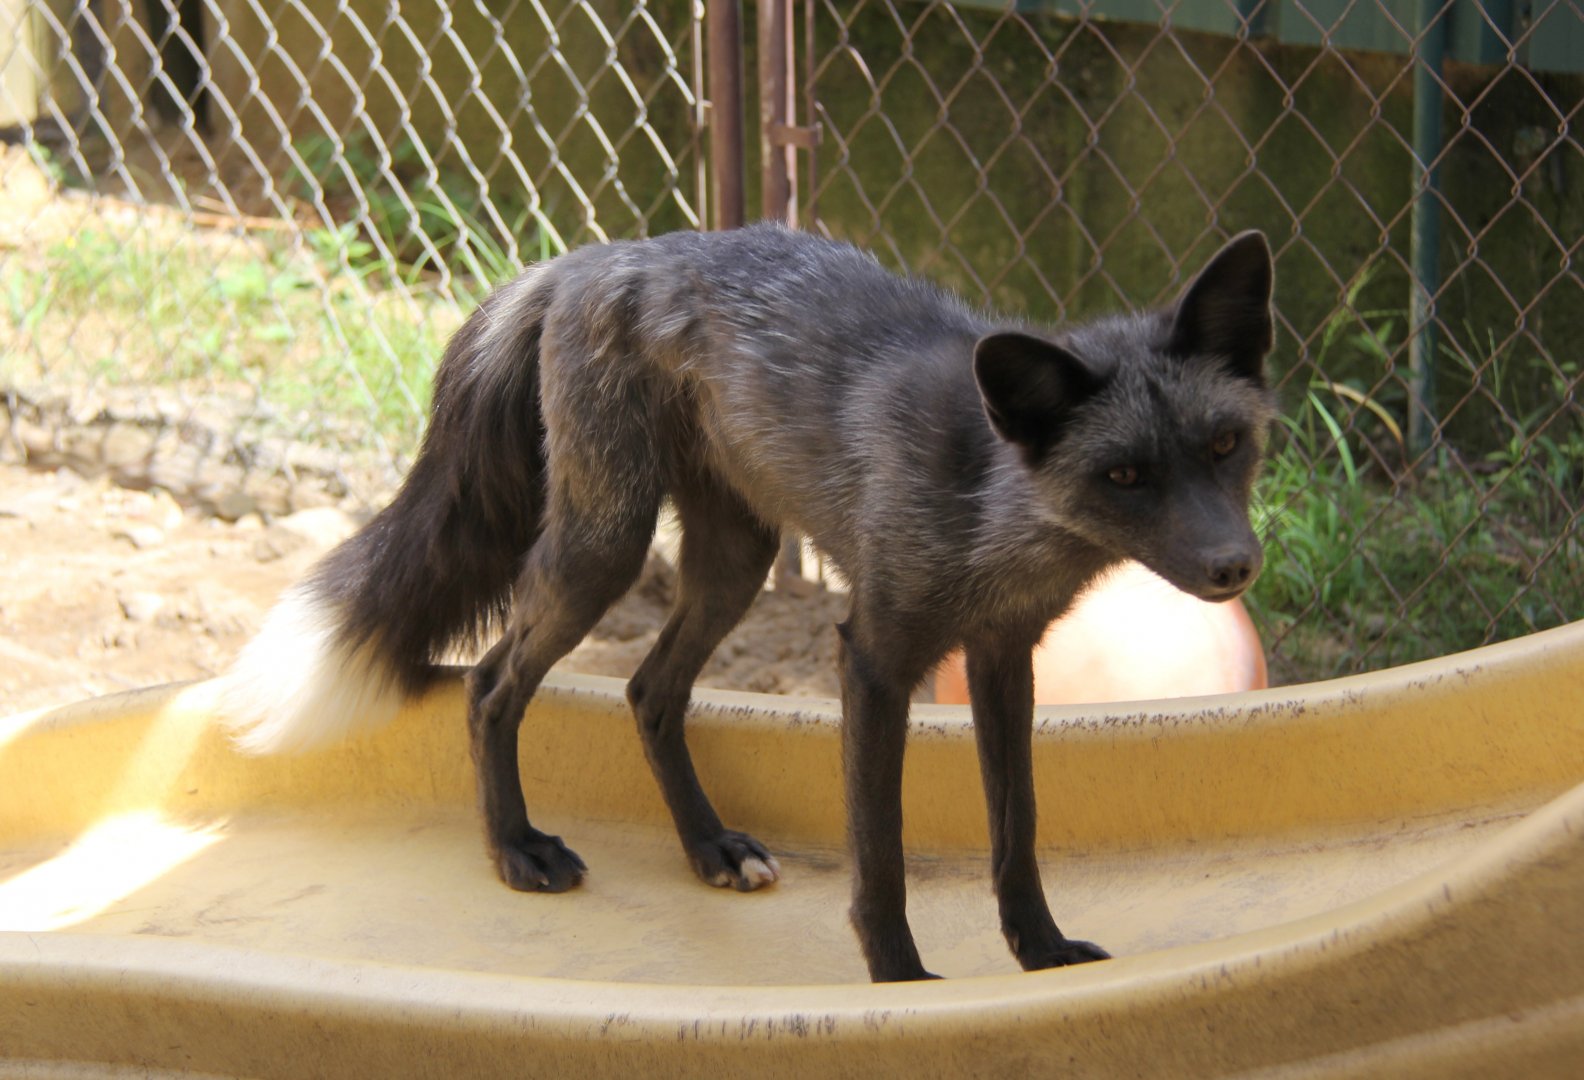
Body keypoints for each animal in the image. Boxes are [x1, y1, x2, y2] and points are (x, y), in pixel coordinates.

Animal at [220, 223, 1277, 983]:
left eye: (1225, 446)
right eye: (1125, 475)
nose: (1235, 568)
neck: (992, 500)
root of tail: (601, 254)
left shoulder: (1001, 658)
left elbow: (1016, 834)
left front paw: (1043, 957)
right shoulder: (874, 655)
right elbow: (880, 858)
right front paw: (901, 985)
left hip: (737, 559)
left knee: (649, 691)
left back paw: (707, 849)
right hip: (604, 551)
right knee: (488, 686)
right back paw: (516, 849)